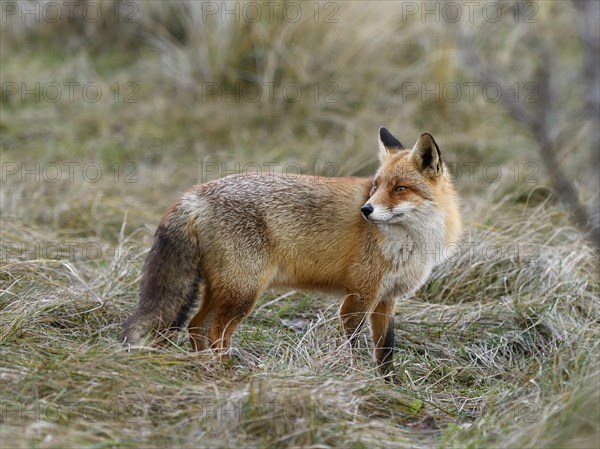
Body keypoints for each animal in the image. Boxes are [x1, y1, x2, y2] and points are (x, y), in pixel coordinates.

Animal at [120, 128, 460, 376]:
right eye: (376, 186)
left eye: (400, 188)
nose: (365, 210)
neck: (412, 241)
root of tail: (194, 193)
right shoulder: (359, 295)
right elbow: (352, 344)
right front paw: (353, 377)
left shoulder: (387, 299)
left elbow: (385, 351)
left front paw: (387, 385)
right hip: (244, 292)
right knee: (217, 332)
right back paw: (225, 370)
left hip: (223, 289)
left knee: (196, 325)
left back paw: (204, 367)